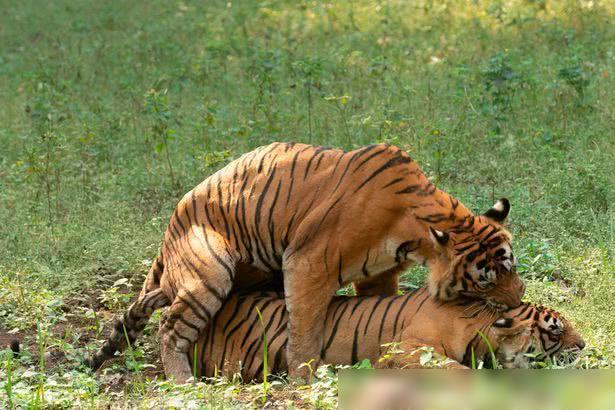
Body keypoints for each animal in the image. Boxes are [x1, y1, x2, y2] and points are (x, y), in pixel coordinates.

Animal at [85, 143, 524, 382]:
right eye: (485, 281)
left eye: (512, 267)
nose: (519, 301)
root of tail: (168, 232)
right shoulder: (308, 263)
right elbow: (305, 327)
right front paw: (304, 376)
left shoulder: (378, 274)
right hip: (209, 272)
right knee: (170, 329)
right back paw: (184, 382)